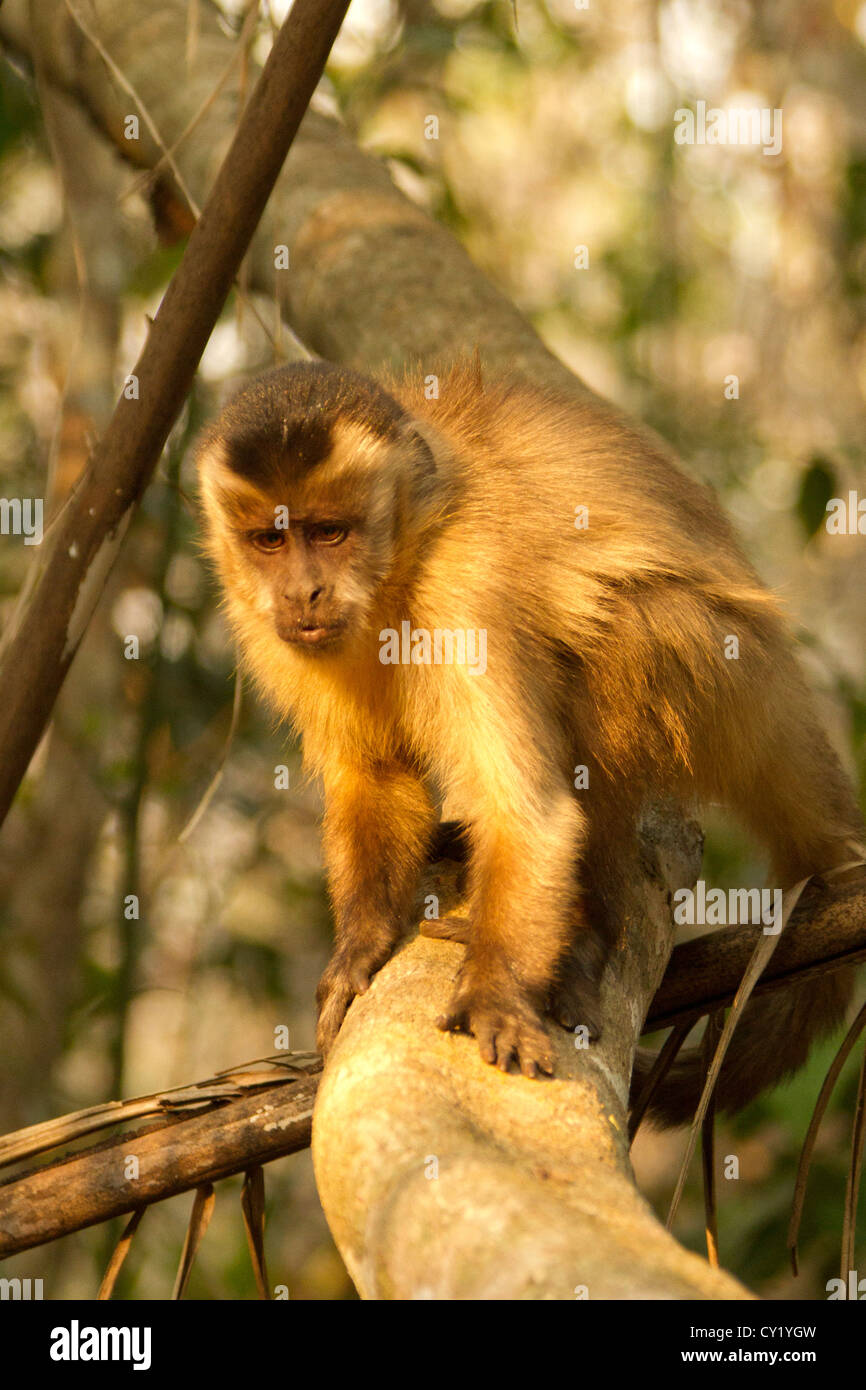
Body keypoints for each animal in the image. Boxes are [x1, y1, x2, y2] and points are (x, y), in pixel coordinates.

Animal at [193, 361, 861, 1128]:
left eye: (330, 532)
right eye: (268, 542)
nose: (303, 592)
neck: (404, 560)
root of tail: (788, 685)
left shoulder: (466, 585)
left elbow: (529, 810)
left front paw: (495, 993)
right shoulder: (265, 625)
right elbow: (376, 774)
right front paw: (360, 947)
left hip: (734, 678)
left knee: (624, 630)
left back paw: (588, 932)